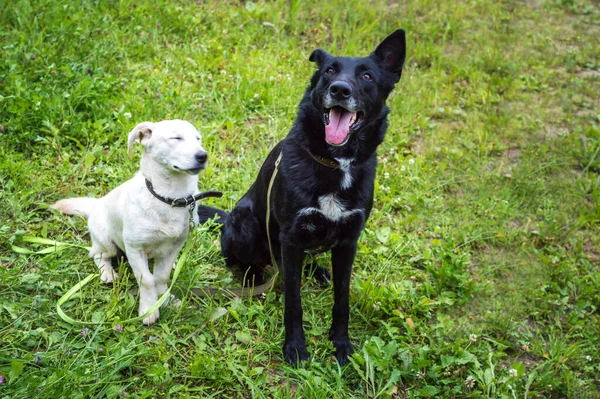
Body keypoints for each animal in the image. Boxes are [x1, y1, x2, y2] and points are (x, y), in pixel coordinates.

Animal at [54, 120, 209, 326]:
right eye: (176, 138)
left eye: (198, 139)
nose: (203, 156)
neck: (169, 198)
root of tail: (96, 205)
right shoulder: (134, 248)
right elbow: (147, 280)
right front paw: (149, 309)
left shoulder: (176, 245)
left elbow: (161, 277)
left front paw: (165, 298)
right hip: (107, 242)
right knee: (97, 255)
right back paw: (107, 272)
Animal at [199, 30, 406, 366]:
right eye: (329, 71)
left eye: (366, 76)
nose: (339, 89)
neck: (336, 163)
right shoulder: (292, 238)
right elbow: (294, 302)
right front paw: (295, 346)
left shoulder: (348, 241)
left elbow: (342, 298)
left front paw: (340, 343)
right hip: (245, 222)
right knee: (244, 261)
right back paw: (254, 278)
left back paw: (318, 271)